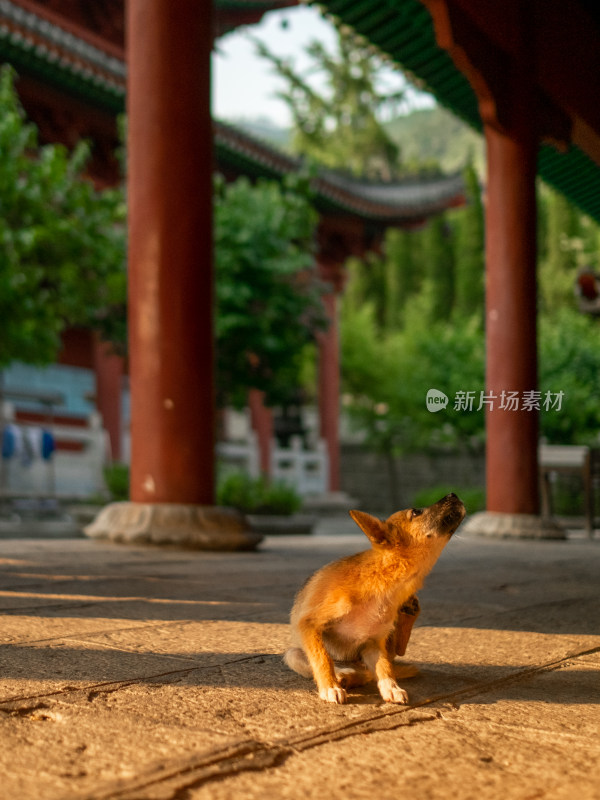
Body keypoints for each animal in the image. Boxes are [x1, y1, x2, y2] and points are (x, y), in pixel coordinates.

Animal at [284, 490, 466, 704]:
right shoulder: (308, 623)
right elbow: (323, 658)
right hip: (292, 654)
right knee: (330, 664)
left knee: (373, 670)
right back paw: (342, 675)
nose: (453, 493)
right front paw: (330, 687)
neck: (387, 584)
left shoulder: (373, 645)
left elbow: (384, 669)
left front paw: (391, 688)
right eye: (416, 512)